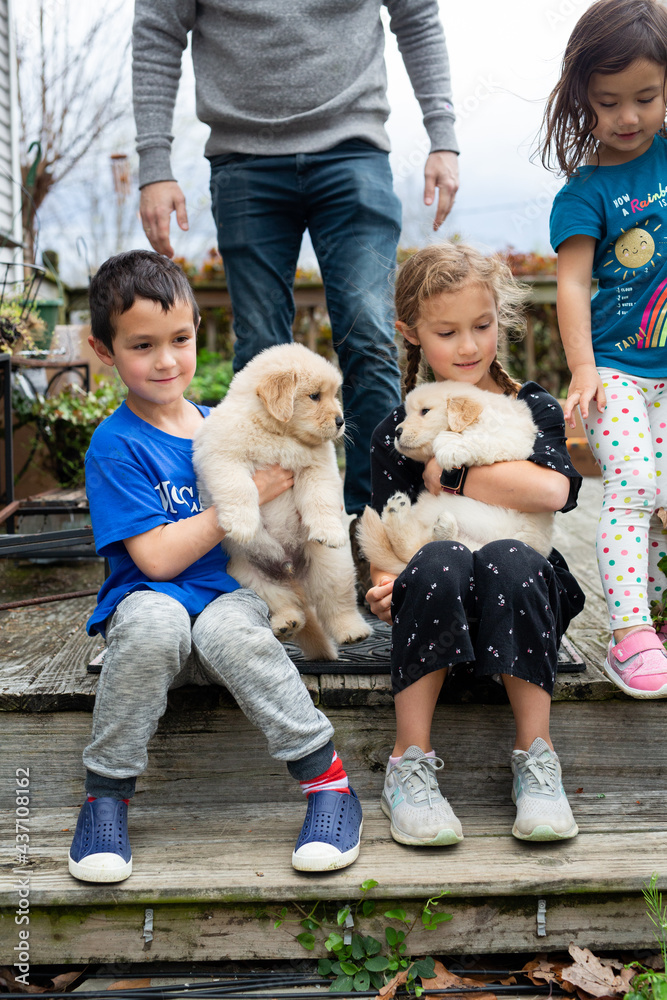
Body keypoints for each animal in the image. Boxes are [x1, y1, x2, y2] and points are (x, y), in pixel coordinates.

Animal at [192, 340, 370, 660]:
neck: (278, 433)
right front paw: (242, 525)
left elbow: (321, 497)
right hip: (248, 578)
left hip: (332, 568)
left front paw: (328, 531)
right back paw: (286, 623)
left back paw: (352, 631)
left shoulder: (317, 467)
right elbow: (240, 487)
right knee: (284, 604)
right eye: (315, 396)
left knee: (337, 604)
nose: (340, 422)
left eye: (333, 395)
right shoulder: (223, 457)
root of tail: (291, 574)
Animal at [358, 378, 556, 576]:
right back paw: (399, 513)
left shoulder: (513, 439)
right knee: (419, 548)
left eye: (425, 411)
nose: (397, 432)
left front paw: (449, 447)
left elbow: (480, 438)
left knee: (425, 546)